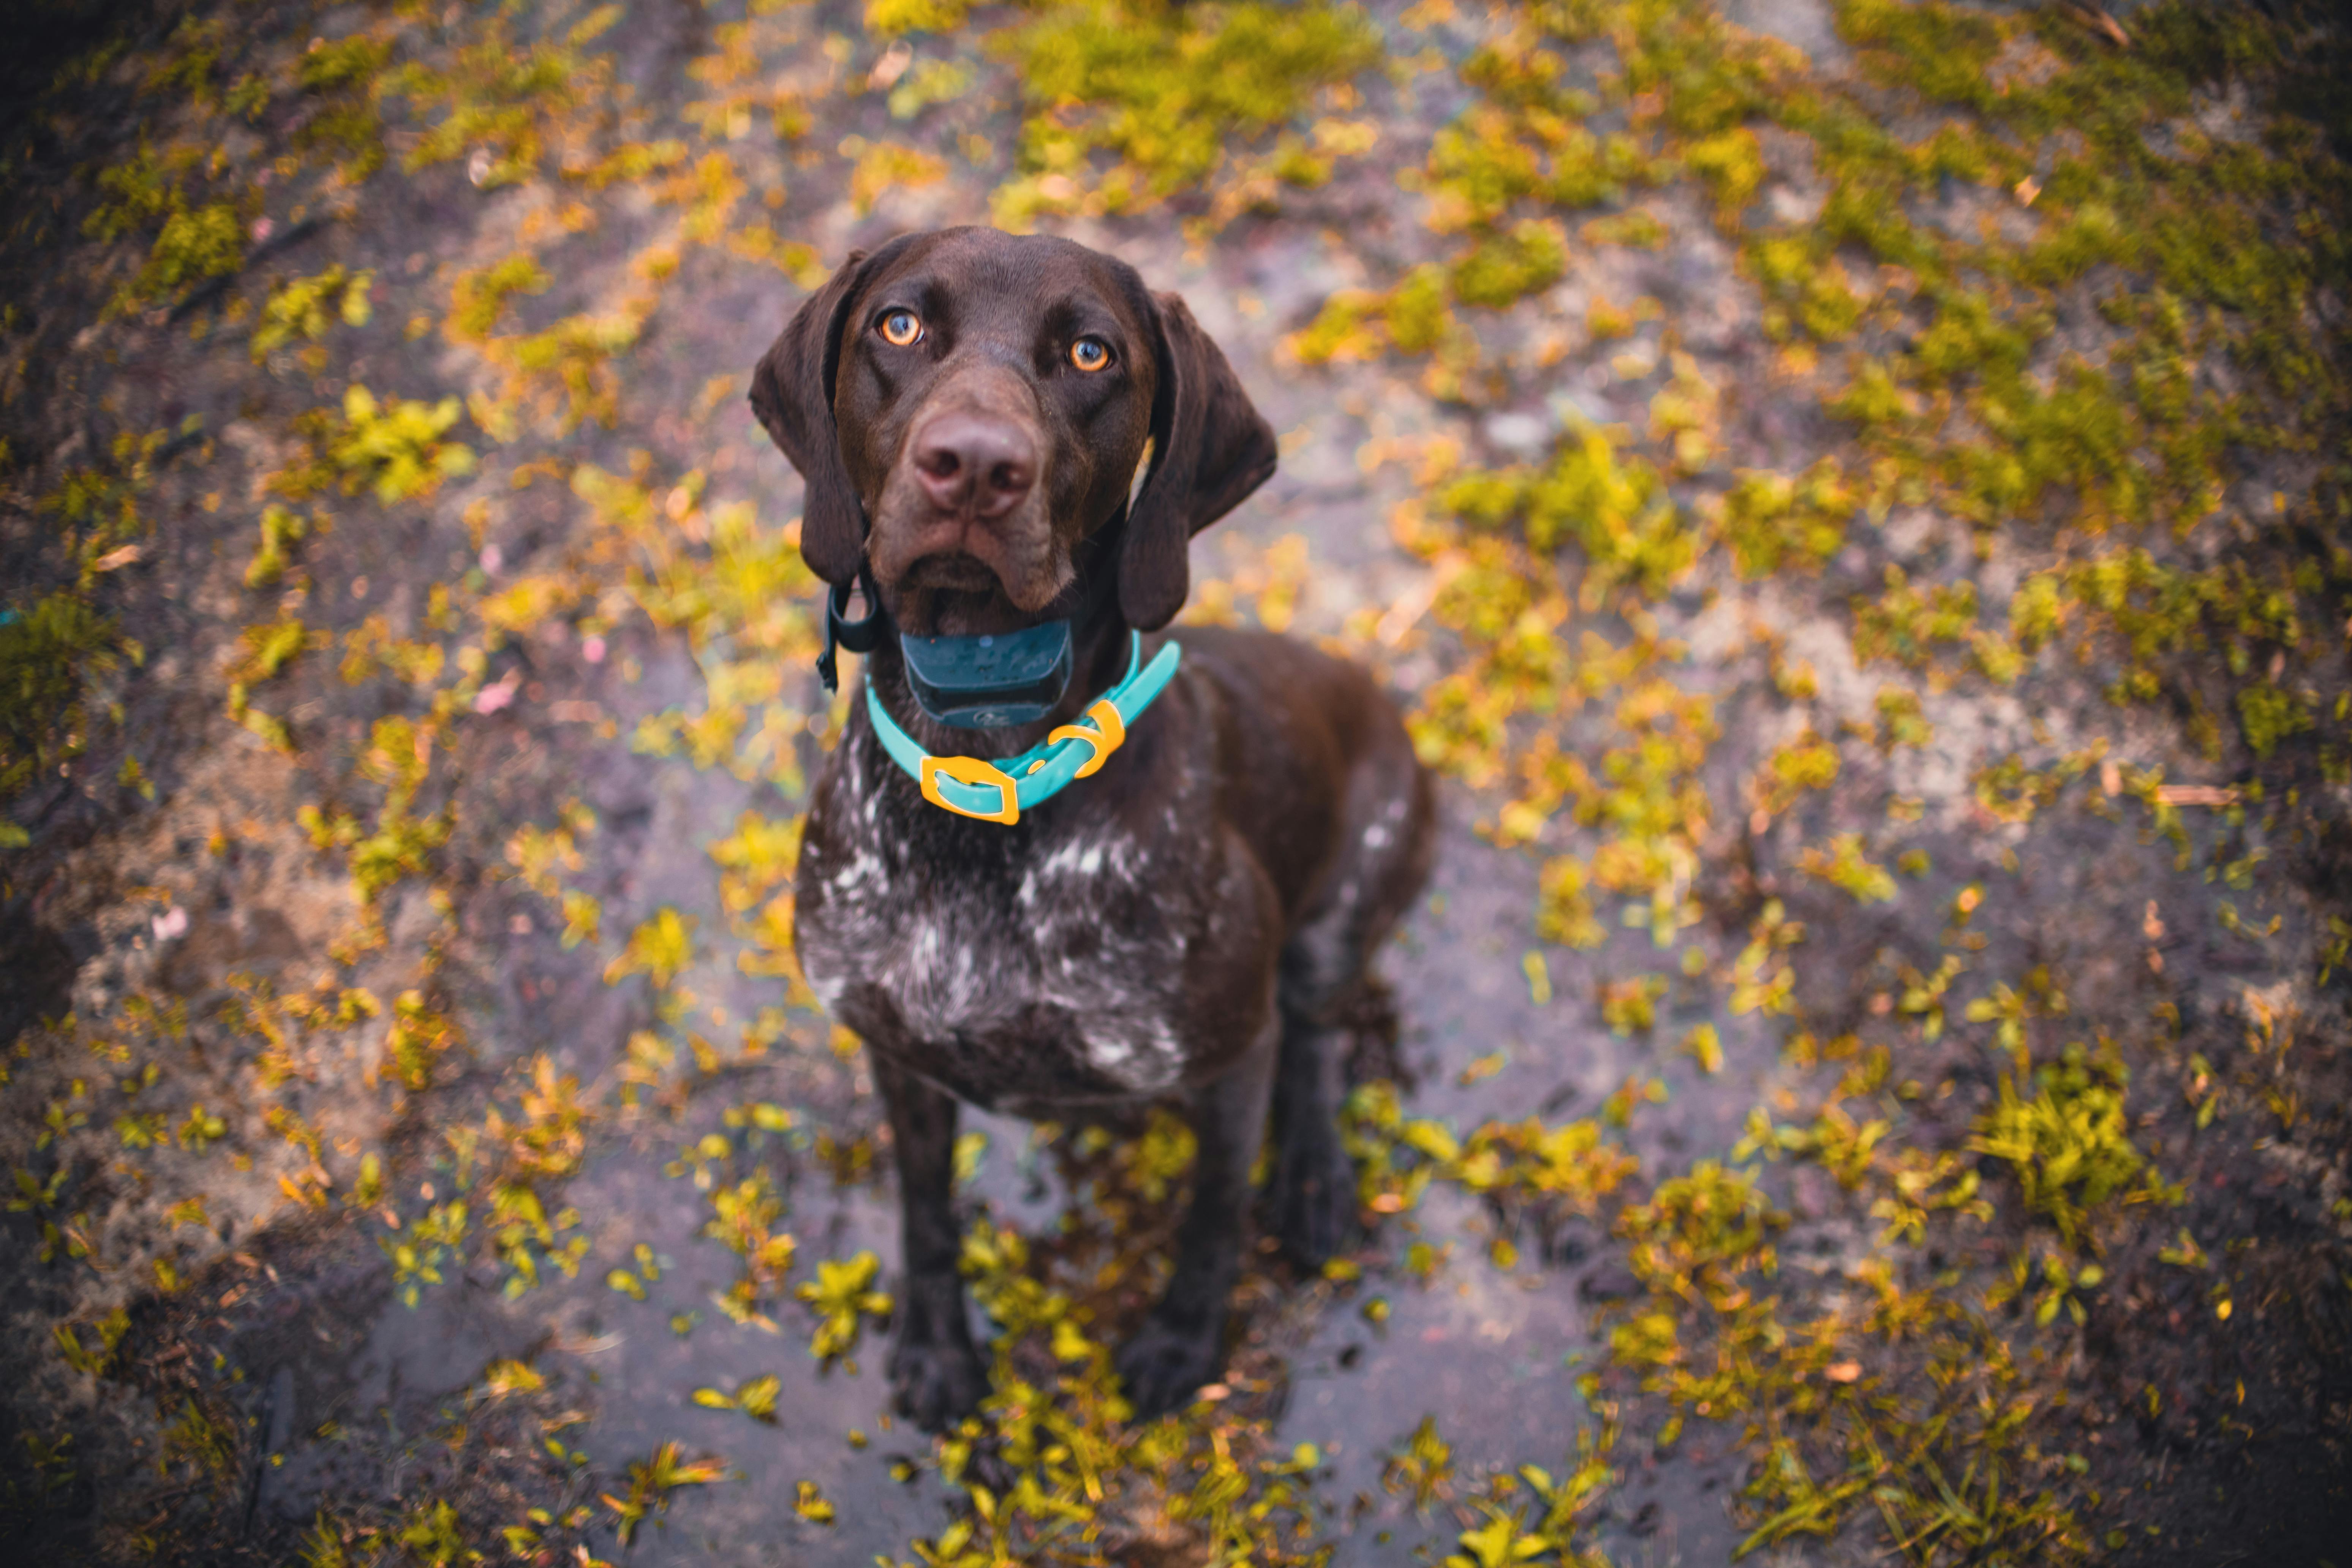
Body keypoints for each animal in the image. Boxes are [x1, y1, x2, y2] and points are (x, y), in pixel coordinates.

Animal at [752, 227, 1430, 1429]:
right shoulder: (896, 1052)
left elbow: (1210, 1213)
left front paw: (1182, 1341)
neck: (987, 771)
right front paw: (936, 1344)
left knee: (1318, 1033)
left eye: (1089, 352)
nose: (975, 465)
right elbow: (924, 1206)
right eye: (898, 325)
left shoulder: (1228, 1056)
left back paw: (1313, 1181)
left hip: (1346, 902)